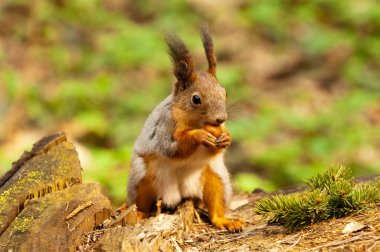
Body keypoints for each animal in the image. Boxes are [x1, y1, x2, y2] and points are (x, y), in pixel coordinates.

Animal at [127, 26, 245, 231]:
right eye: (196, 99)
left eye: (225, 93)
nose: (221, 118)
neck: (196, 123)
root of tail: (179, 192)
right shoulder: (165, 128)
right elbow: (173, 149)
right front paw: (199, 136)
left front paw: (226, 138)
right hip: (142, 178)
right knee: (140, 203)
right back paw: (139, 214)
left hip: (217, 178)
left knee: (216, 206)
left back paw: (225, 221)